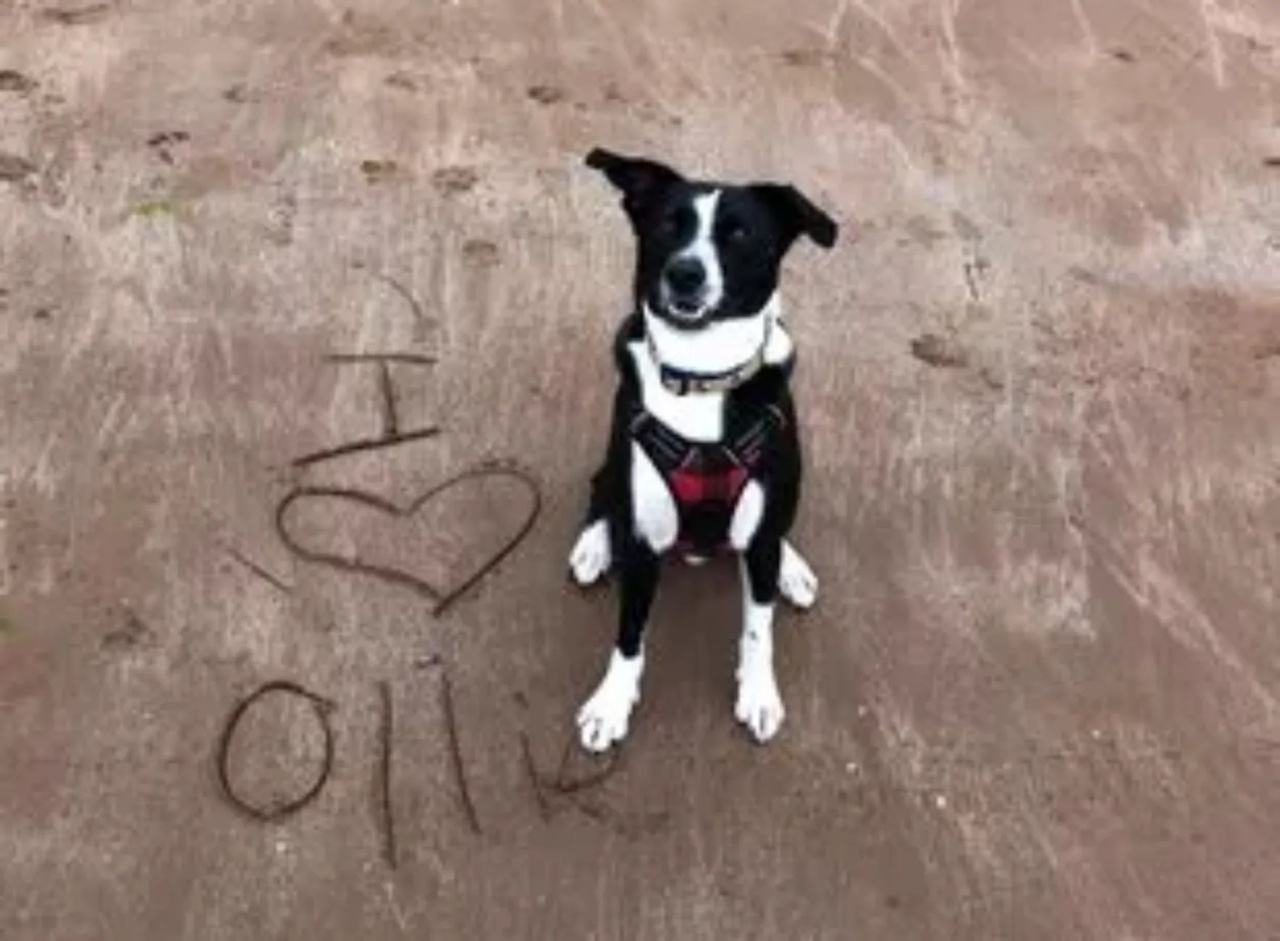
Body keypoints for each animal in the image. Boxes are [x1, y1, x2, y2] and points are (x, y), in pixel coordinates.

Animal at [573, 145, 839, 752]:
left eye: (740, 235)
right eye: (667, 227)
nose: (685, 273)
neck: (701, 376)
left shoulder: (761, 536)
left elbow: (759, 627)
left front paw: (759, 694)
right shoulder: (643, 542)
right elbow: (629, 634)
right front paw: (611, 703)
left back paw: (792, 567)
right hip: (614, 462)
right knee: (600, 491)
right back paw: (594, 545)